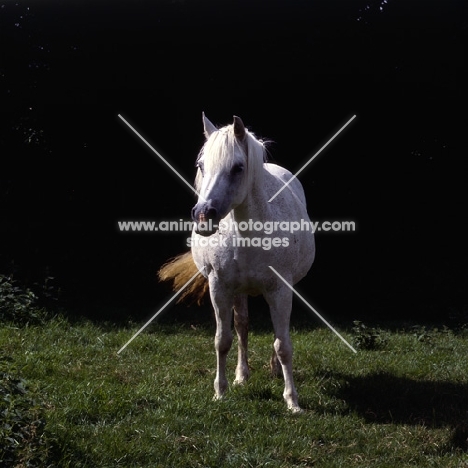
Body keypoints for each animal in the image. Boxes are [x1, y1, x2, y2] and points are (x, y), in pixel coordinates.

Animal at [159, 115, 316, 412]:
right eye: (201, 165)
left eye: (238, 167)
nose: (203, 216)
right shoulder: (219, 287)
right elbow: (223, 340)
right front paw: (220, 391)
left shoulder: (280, 290)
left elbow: (283, 345)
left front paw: (292, 401)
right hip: (239, 291)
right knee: (242, 326)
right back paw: (242, 375)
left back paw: (274, 370)